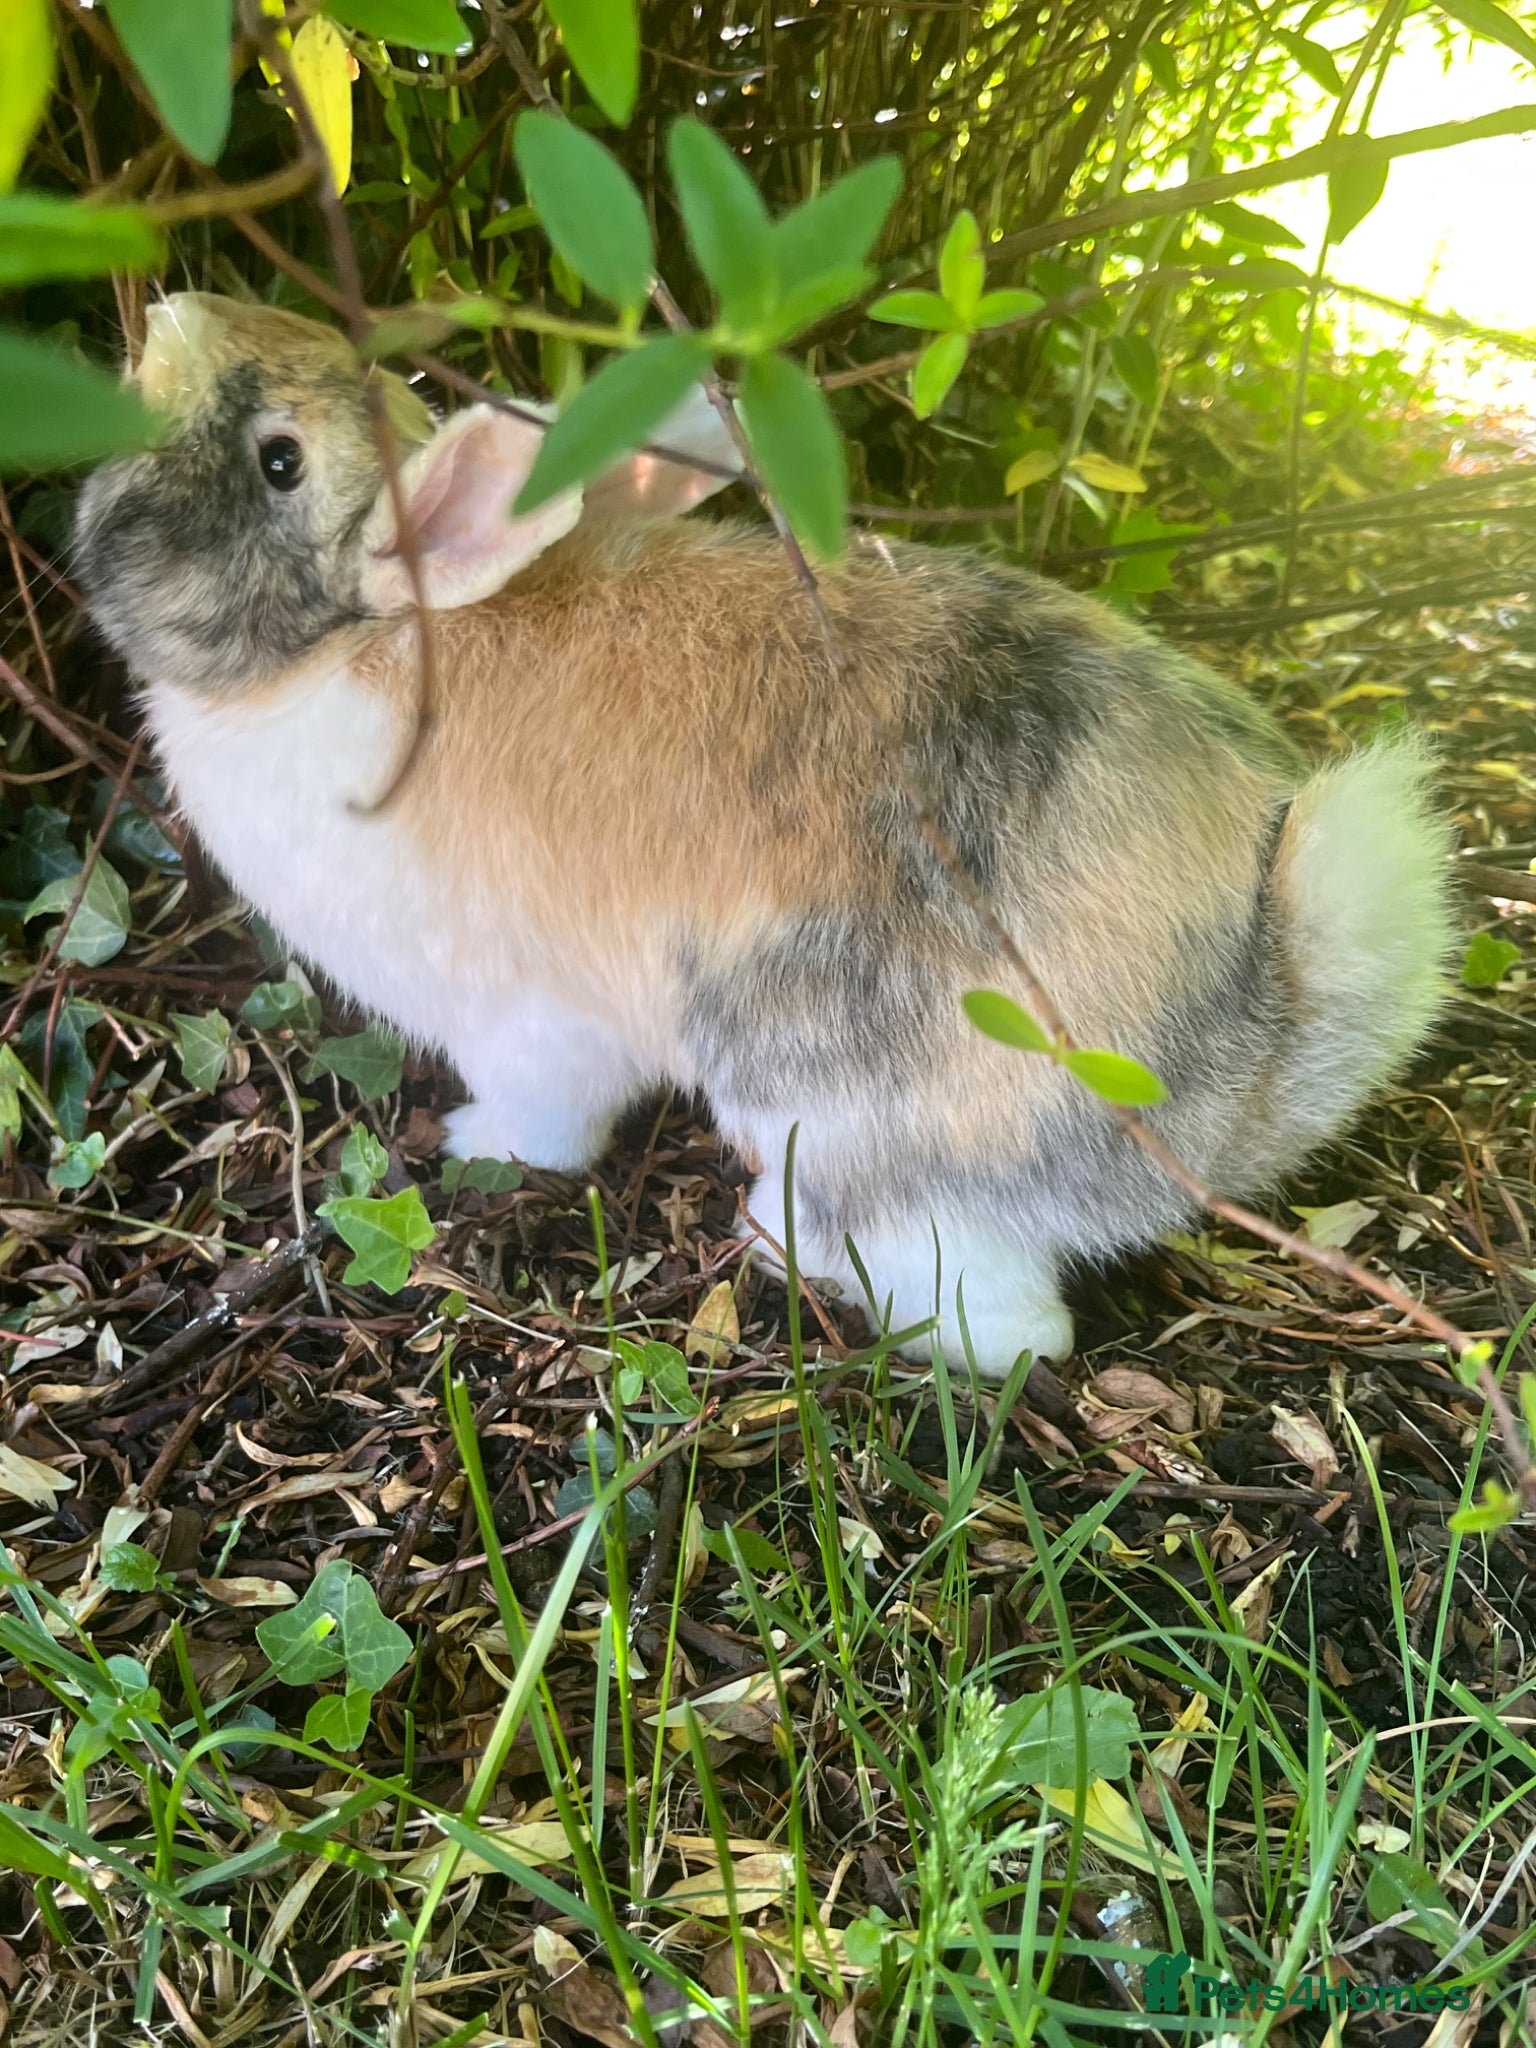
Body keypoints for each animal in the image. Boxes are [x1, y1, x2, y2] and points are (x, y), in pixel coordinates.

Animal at [74, 293, 1455, 1379]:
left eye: (279, 462)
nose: (175, 310)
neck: (349, 646)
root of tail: (1236, 1065)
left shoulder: (531, 1014)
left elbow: (551, 1114)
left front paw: (474, 1148)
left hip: (840, 1105)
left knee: (1013, 1326)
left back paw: (792, 1251)